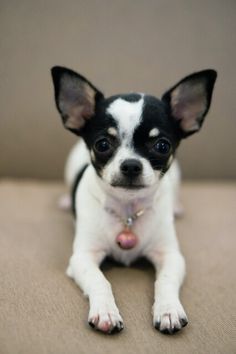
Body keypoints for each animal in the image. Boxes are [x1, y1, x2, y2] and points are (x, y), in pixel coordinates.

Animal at [50, 66, 217, 334]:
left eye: (162, 146)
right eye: (102, 144)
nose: (131, 165)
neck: (127, 211)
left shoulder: (171, 256)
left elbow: (165, 281)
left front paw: (168, 310)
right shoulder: (82, 257)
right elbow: (100, 280)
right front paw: (105, 311)